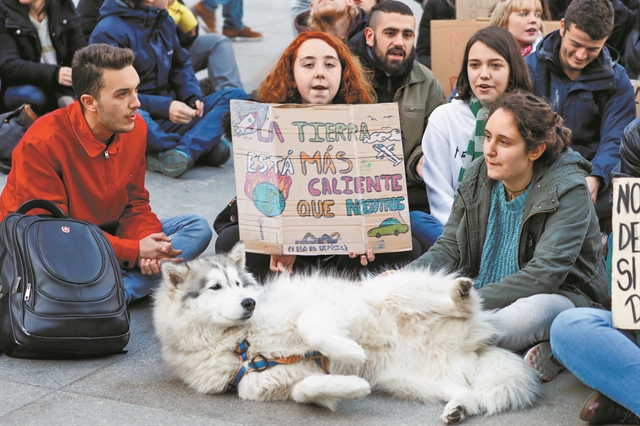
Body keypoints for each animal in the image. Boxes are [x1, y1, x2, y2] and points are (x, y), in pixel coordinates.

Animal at [155, 243, 540, 422]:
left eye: (238, 284)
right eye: (216, 287)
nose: (249, 302)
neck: (241, 342)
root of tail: (475, 346)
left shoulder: (320, 309)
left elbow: (312, 329)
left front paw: (351, 352)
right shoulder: (271, 381)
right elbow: (305, 391)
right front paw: (352, 387)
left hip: (392, 289)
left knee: (462, 303)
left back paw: (459, 294)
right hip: (411, 381)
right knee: (469, 394)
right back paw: (458, 408)